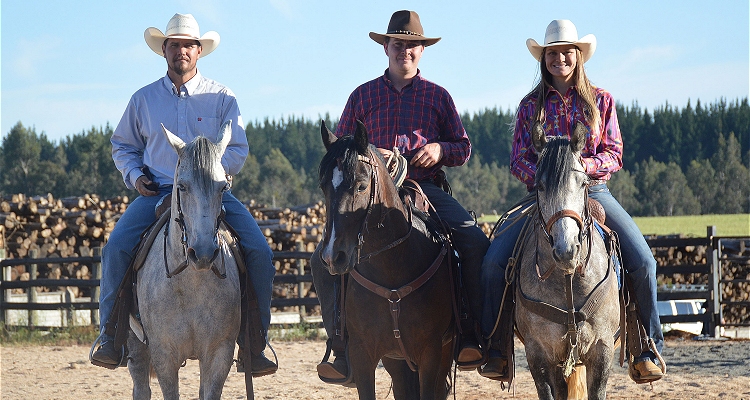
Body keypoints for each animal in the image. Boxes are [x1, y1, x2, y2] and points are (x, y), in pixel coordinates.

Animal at [127, 122, 241, 400]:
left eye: (223, 187)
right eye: (182, 186)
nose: (202, 252)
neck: (191, 285)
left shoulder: (218, 353)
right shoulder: (164, 354)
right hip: (135, 344)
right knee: (141, 387)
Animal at [316, 120, 452, 398]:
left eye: (361, 185)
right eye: (324, 187)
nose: (333, 256)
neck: (391, 269)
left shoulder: (430, 353)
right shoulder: (362, 354)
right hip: (396, 360)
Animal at [516, 124, 624, 400]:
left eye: (584, 182)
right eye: (539, 186)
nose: (566, 251)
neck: (568, 281)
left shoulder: (602, 349)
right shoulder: (538, 353)